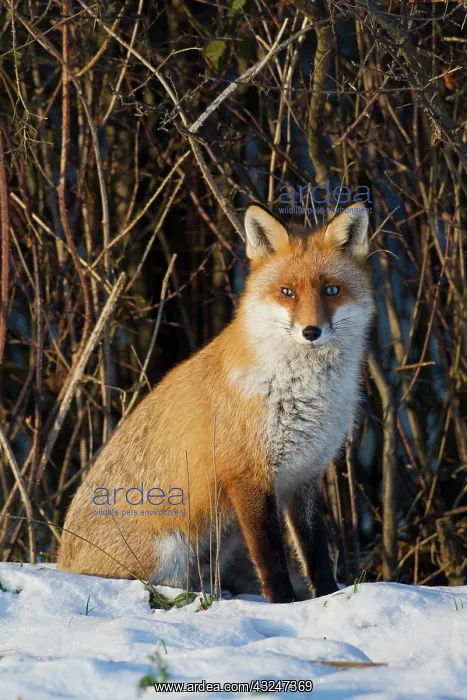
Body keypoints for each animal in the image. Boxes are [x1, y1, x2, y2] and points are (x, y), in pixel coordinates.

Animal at [58, 201, 374, 603]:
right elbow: (270, 557)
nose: (311, 331)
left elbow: (315, 553)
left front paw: (325, 599)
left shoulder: (305, 473)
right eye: (287, 292)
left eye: (332, 290)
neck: (303, 394)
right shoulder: (248, 475)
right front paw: (283, 604)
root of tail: (62, 560)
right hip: (169, 553)